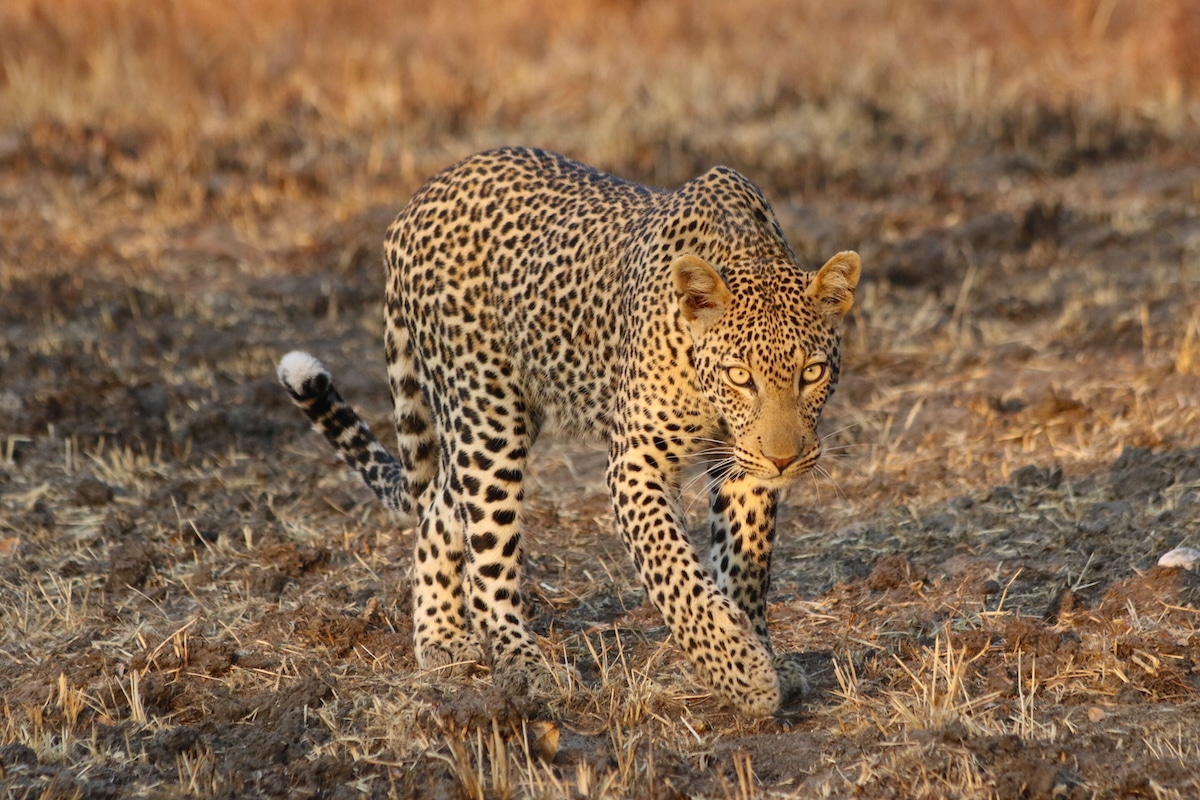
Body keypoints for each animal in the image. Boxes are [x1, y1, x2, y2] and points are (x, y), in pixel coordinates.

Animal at [278, 146, 864, 714]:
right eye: (741, 376)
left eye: (812, 373)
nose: (785, 460)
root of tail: (413, 204)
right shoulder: (637, 463)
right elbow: (676, 574)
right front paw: (743, 676)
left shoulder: (743, 467)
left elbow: (743, 566)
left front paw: (760, 653)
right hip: (488, 418)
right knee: (485, 555)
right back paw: (524, 667)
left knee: (439, 513)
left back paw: (440, 638)